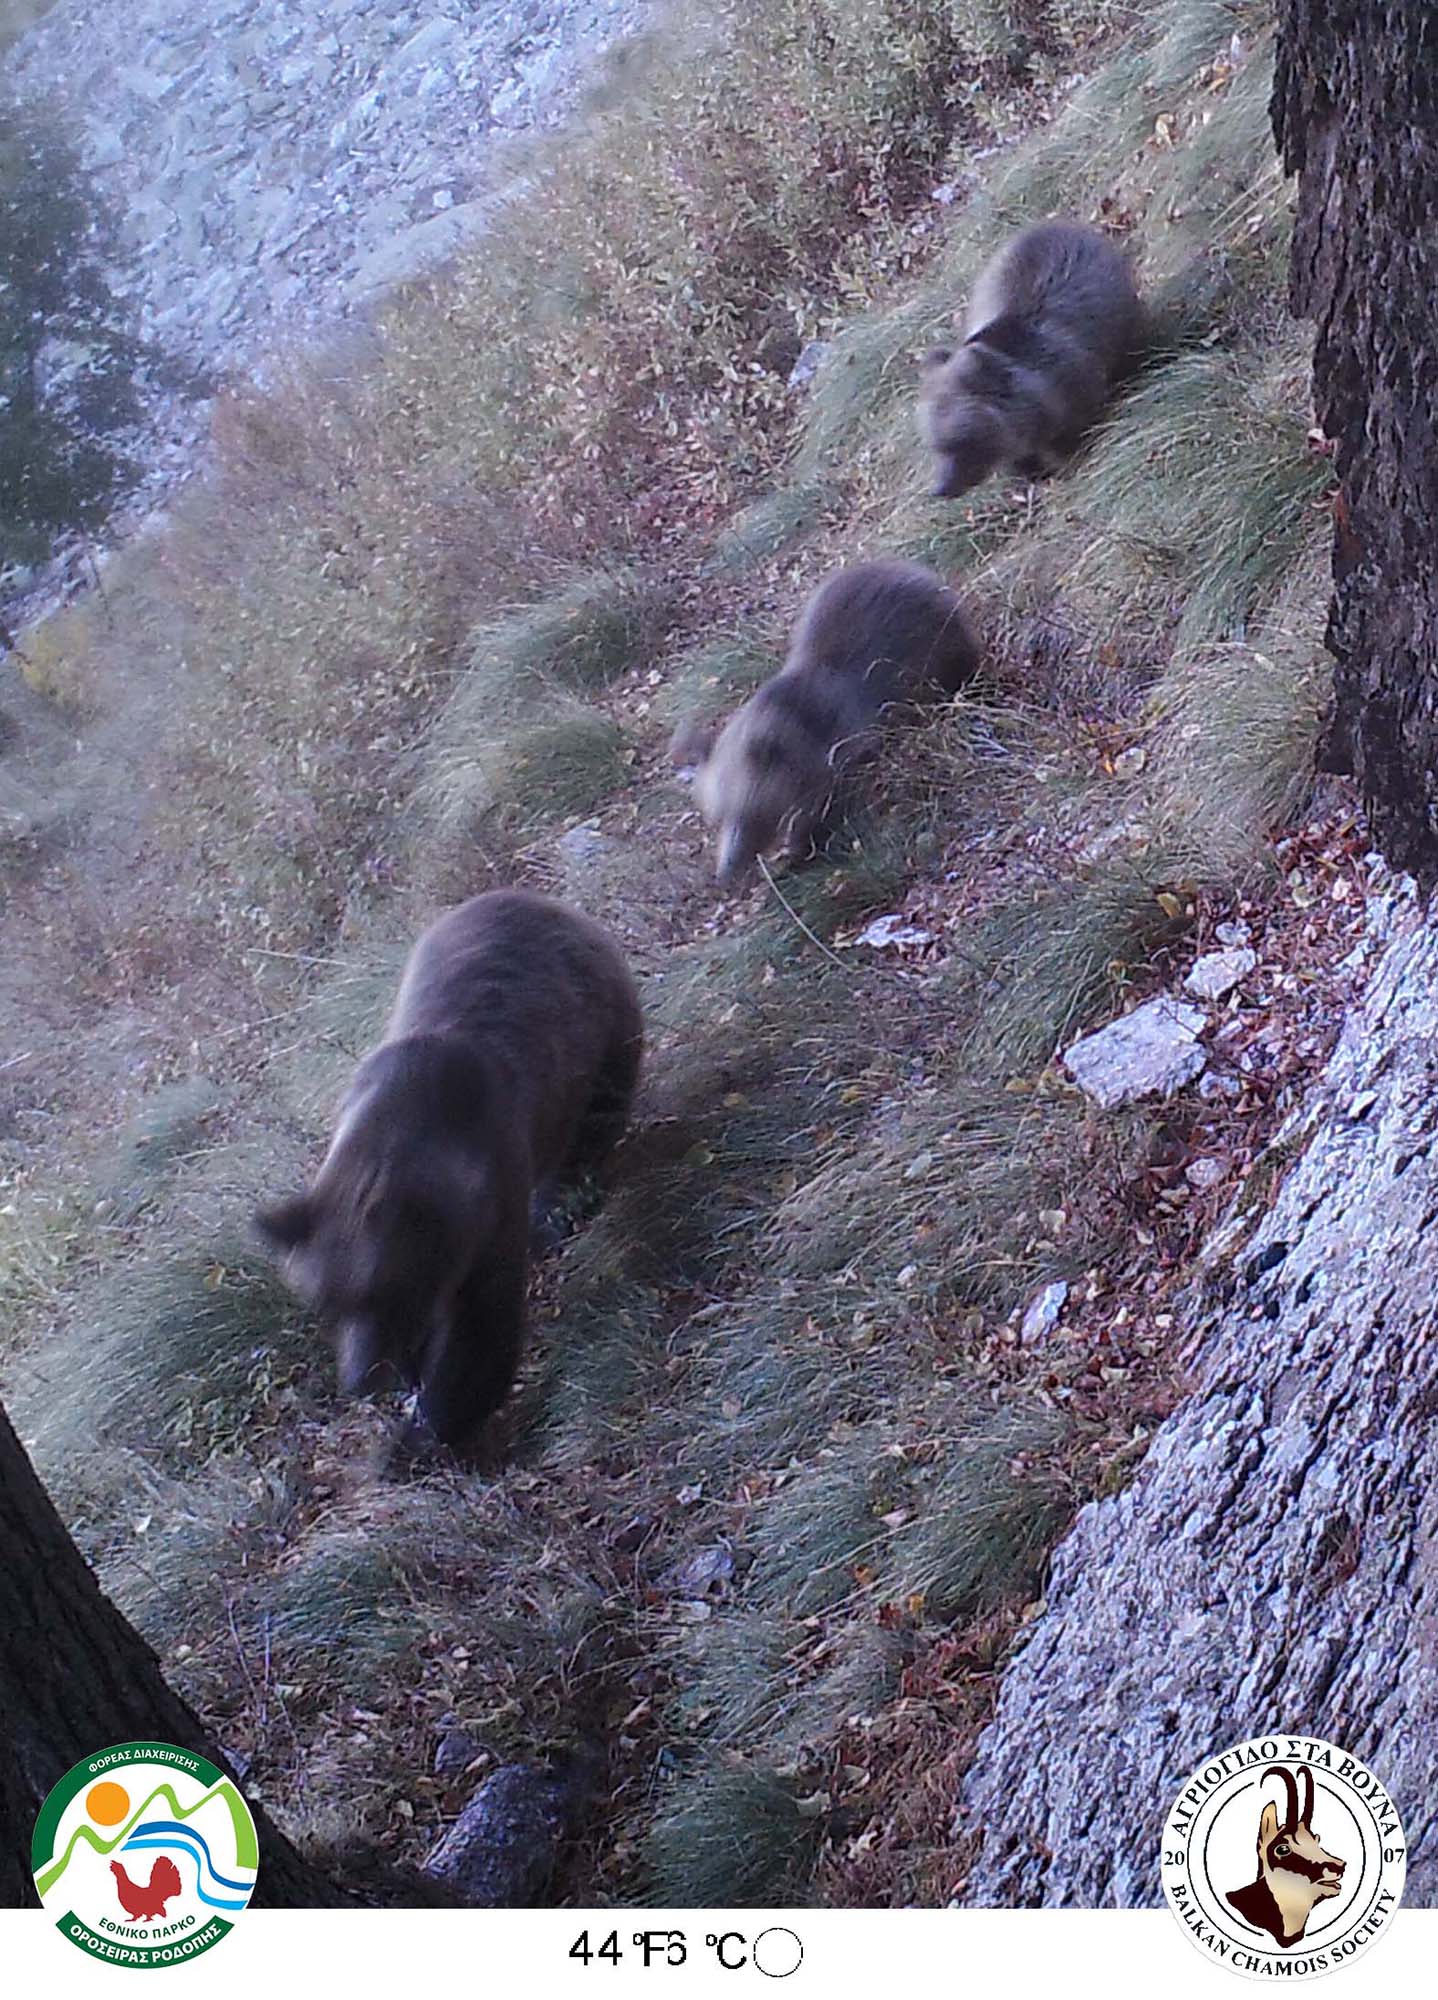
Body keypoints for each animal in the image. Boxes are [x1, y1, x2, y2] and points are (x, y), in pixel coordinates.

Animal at [254, 888, 643, 1448]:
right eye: (328, 1303)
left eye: (380, 1292)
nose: (360, 1379)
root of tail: (537, 898)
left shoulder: (494, 1193)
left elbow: (480, 1329)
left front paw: (426, 1428)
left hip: (599, 1029)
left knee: (594, 1122)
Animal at [687, 558, 980, 886]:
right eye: (717, 816)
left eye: (749, 814)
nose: (725, 873)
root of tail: (916, 569)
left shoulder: (844, 745)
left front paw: (803, 850)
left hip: (936, 643)